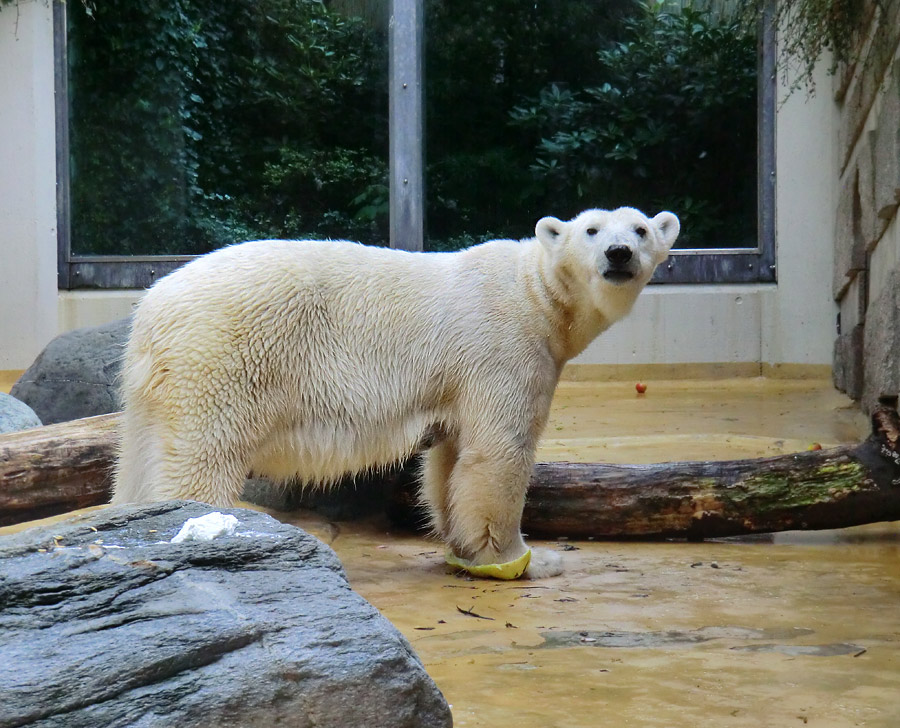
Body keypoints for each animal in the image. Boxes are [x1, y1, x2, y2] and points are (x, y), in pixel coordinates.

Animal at [114, 206, 676, 580]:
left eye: (641, 229)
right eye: (591, 230)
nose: (619, 253)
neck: (534, 292)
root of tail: (153, 307)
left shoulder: (464, 374)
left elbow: (451, 459)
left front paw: (465, 548)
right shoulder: (505, 347)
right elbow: (499, 451)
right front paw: (520, 558)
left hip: (155, 382)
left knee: (140, 456)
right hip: (224, 354)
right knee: (204, 455)